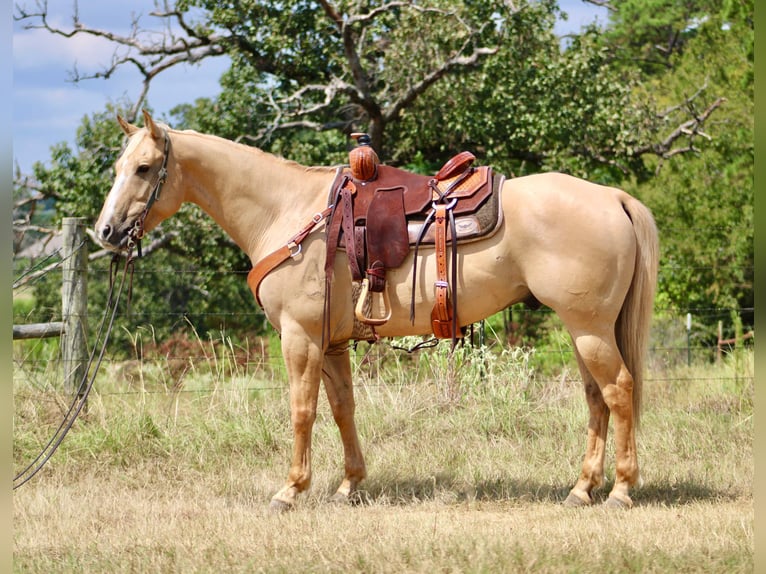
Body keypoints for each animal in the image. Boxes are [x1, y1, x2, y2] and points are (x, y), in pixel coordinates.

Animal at [95, 110, 658, 511]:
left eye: (144, 168)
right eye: (118, 168)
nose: (105, 232)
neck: (288, 212)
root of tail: (613, 197)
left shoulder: (299, 337)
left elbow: (302, 410)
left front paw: (290, 490)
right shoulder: (330, 342)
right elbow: (342, 408)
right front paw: (350, 485)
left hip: (589, 329)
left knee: (618, 390)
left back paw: (620, 490)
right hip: (585, 330)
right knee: (596, 398)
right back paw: (582, 489)